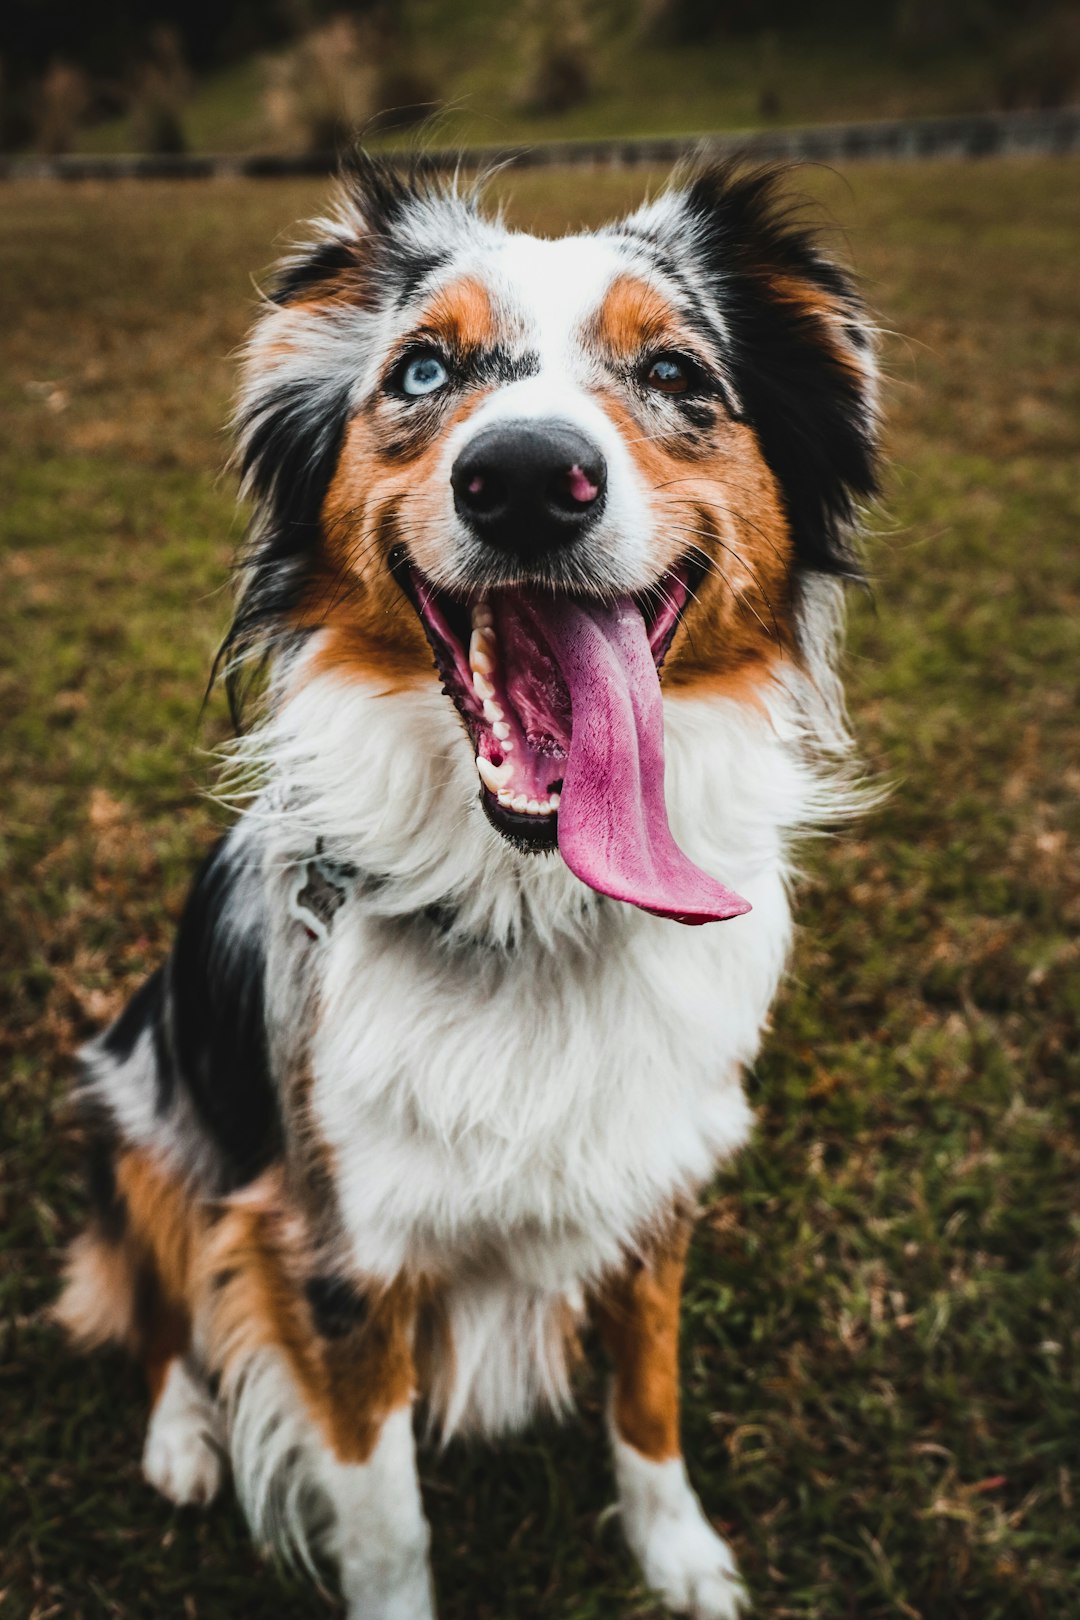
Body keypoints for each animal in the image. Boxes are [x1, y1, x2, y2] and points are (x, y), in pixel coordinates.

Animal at [57, 154, 880, 1620]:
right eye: (424, 372)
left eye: (675, 372)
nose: (528, 478)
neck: (532, 907)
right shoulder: (336, 1255)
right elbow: (385, 1521)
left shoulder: (654, 1181)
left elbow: (650, 1402)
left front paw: (681, 1559)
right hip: (138, 1108)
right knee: (154, 1311)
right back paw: (180, 1442)